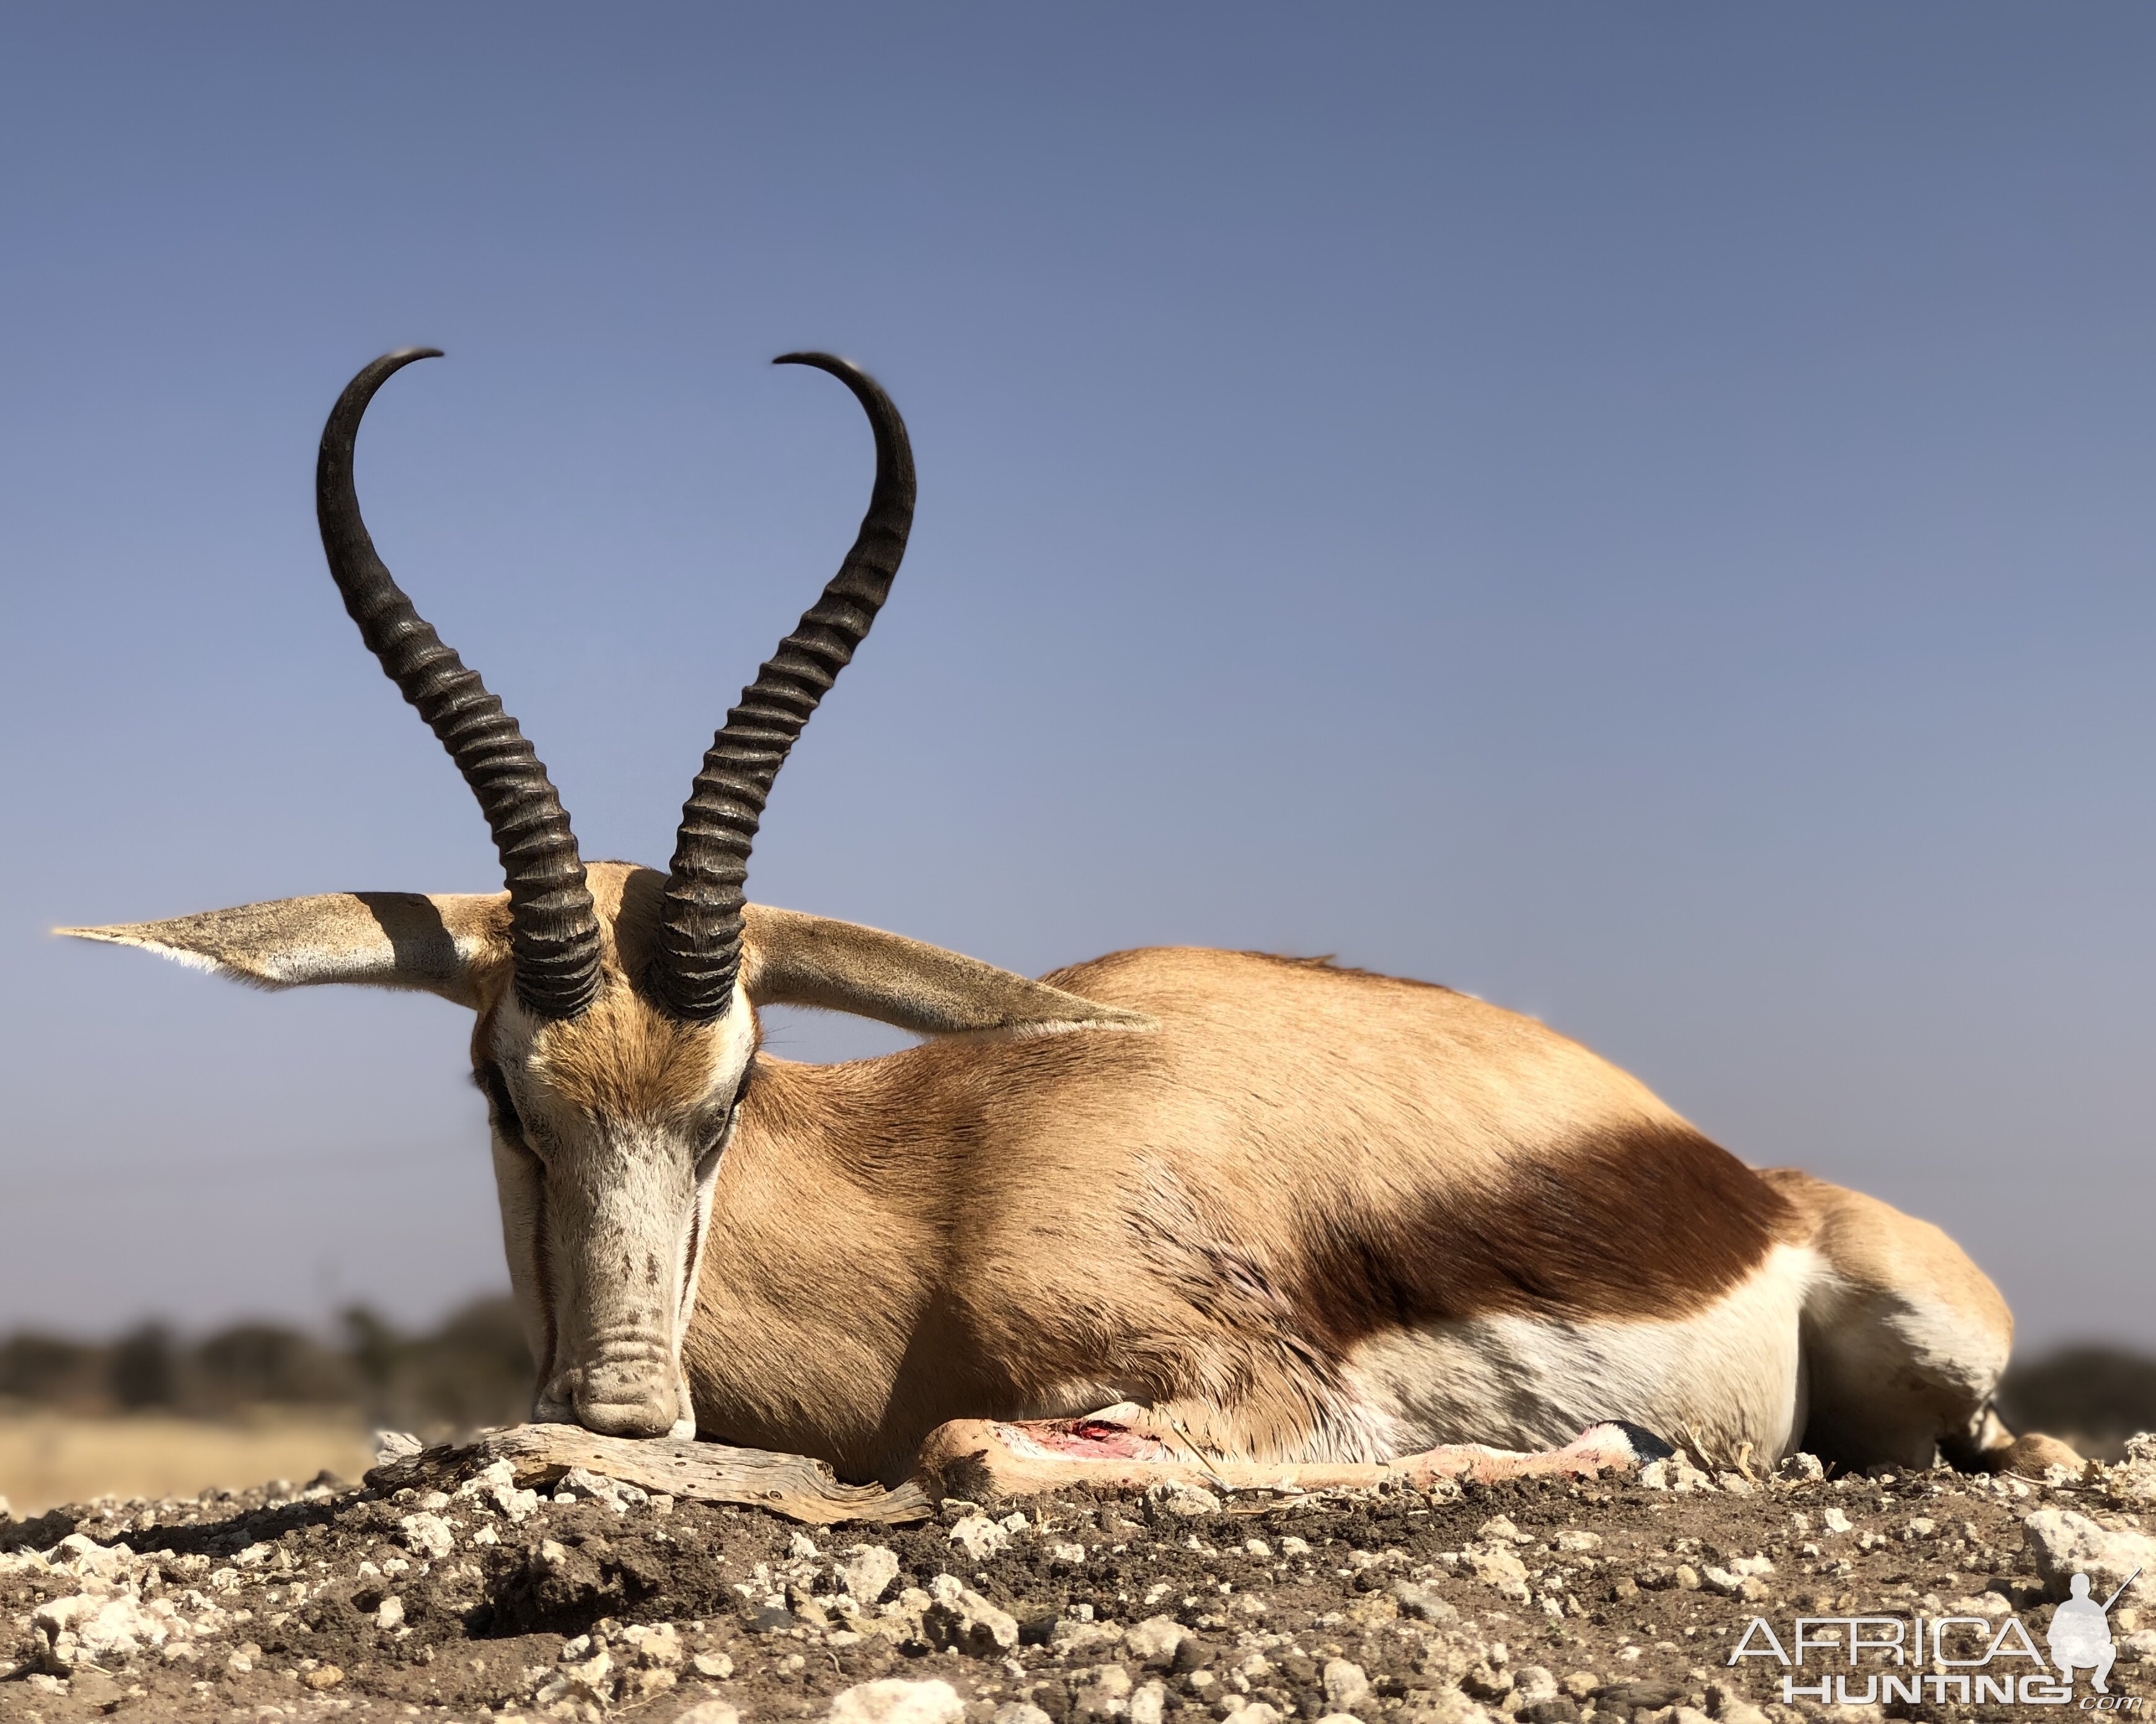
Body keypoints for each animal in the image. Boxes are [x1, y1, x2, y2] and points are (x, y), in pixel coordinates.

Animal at [63, 347, 2052, 1482]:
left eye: (732, 1091)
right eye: (501, 1092)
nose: (622, 1406)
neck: (945, 1171)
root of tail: (1745, 1180)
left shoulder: (1236, 1380)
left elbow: (974, 1449)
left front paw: (1592, 1449)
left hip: (1930, 1350)